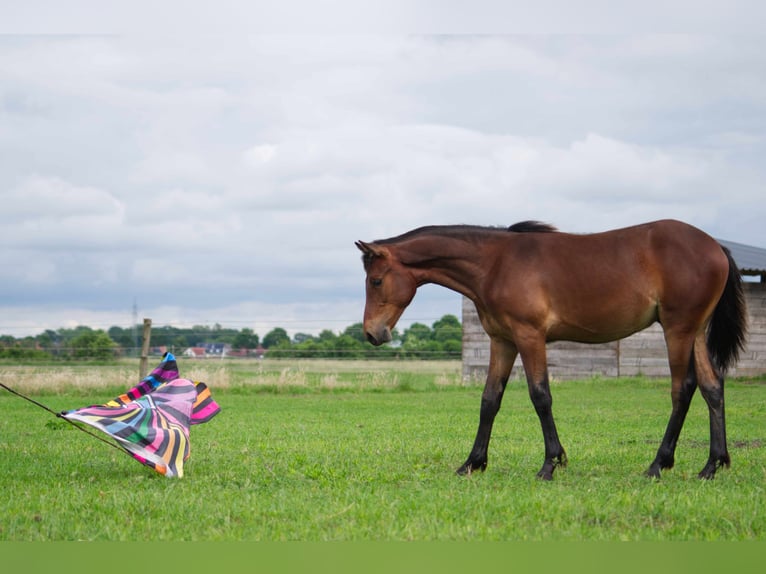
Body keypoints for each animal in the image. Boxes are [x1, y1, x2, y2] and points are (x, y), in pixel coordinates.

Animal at [360, 220, 752, 482]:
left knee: (682, 390)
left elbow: (540, 396)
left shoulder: (529, 337)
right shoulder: (502, 341)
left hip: (678, 331)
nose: (372, 334)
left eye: (376, 280)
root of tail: (715, 247)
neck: (495, 264)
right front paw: (472, 463)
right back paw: (712, 465)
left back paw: (659, 464)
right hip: (695, 332)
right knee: (712, 387)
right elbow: (490, 400)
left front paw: (551, 463)